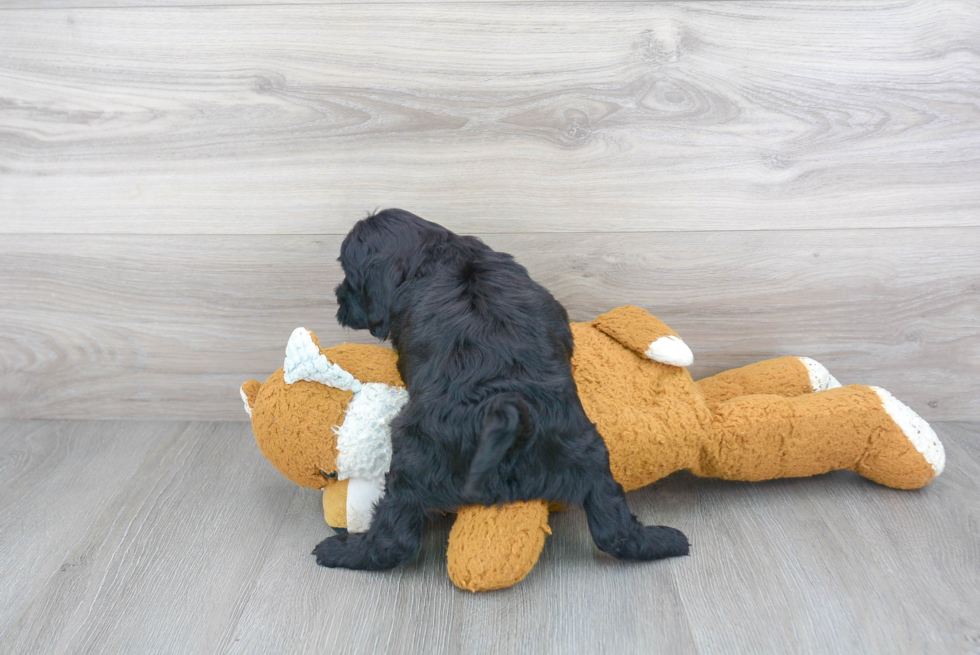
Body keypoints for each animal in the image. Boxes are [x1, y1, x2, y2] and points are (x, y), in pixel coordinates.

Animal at [314, 209, 688, 568]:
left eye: (349, 275)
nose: (337, 299)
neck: (437, 256)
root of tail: (501, 415)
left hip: (413, 462)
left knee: (395, 537)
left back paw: (340, 551)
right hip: (590, 454)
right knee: (612, 523)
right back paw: (663, 540)